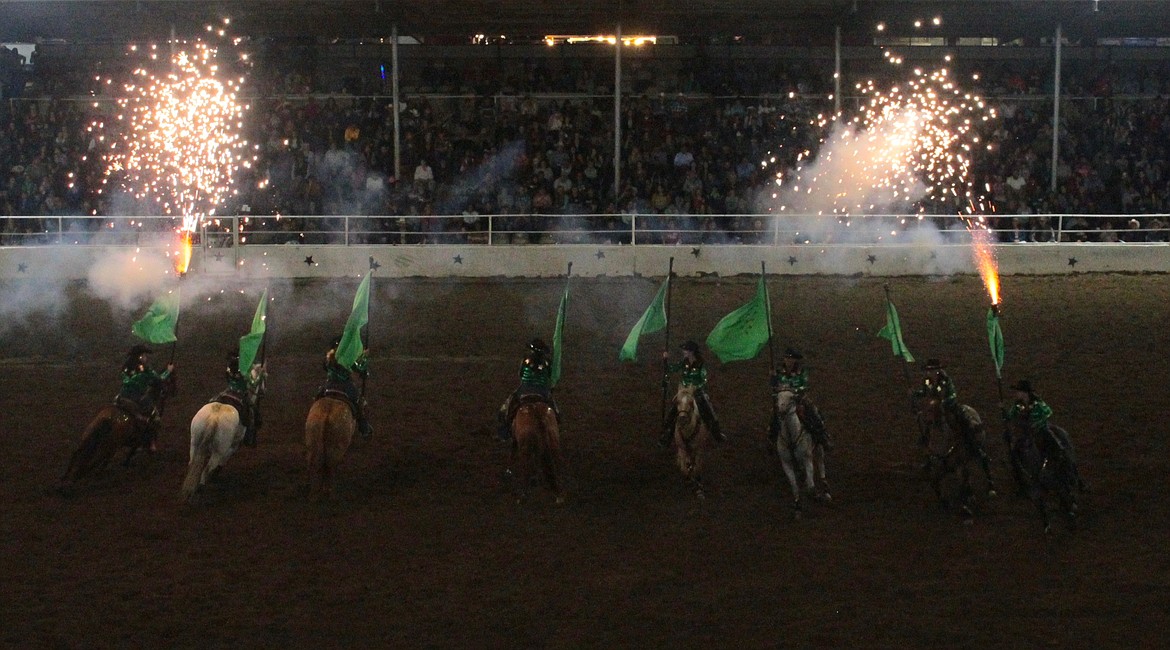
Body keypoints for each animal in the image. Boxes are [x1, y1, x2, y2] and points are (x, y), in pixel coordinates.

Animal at [179, 364, 266, 502]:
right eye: (263, 377)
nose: (263, 391)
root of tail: (214, 417)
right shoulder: (233, 446)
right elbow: (224, 460)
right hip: (219, 451)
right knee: (207, 469)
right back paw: (200, 488)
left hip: (194, 443)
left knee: (192, 463)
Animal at [772, 385, 828, 519]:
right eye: (777, 398)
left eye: (791, 398)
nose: (781, 410)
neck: (791, 436)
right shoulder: (786, 463)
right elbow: (794, 486)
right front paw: (797, 508)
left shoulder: (807, 458)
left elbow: (811, 487)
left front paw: (816, 496)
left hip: (819, 447)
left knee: (821, 466)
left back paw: (826, 492)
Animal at [912, 390, 996, 519]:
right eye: (923, 406)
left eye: (934, 408)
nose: (926, 420)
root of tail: (969, 407)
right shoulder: (945, 467)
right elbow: (935, 482)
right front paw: (945, 503)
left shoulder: (959, 466)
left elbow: (963, 485)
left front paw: (966, 511)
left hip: (981, 448)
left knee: (985, 465)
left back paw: (990, 489)